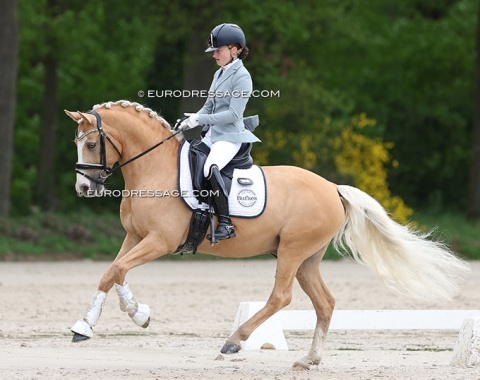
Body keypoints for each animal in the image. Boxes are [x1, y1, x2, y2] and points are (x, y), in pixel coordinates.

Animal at [65, 99, 470, 370]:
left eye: (91, 143)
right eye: (77, 143)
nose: (84, 188)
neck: (154, 169)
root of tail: (332, 188)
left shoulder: (158, 242)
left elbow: (116, 271)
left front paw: (114, 320)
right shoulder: (135, 238)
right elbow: (113, 273)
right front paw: (118, 318)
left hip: (292, 250)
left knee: (281, 297)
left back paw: (234, 342)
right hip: (307, 258)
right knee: (325, 302)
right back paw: (309, 359)